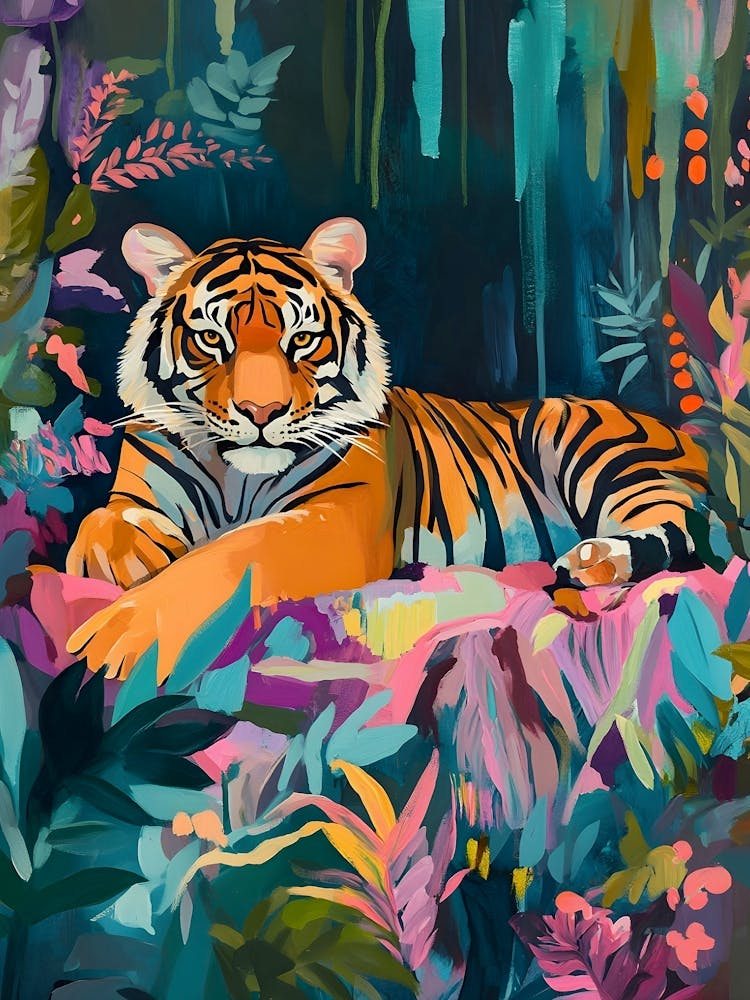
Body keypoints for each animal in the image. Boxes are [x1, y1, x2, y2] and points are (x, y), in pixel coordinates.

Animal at [65, 217, 710, 681]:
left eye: (302, 339)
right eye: (209, 338)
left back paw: (592, 560)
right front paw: (129, 555)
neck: (237, 478)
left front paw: (125, 632)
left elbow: (237, 551)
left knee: (673, 529)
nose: (260, 413)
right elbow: (103, 522)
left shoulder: (339, 518)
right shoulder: (137, 493)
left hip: (589, 447)